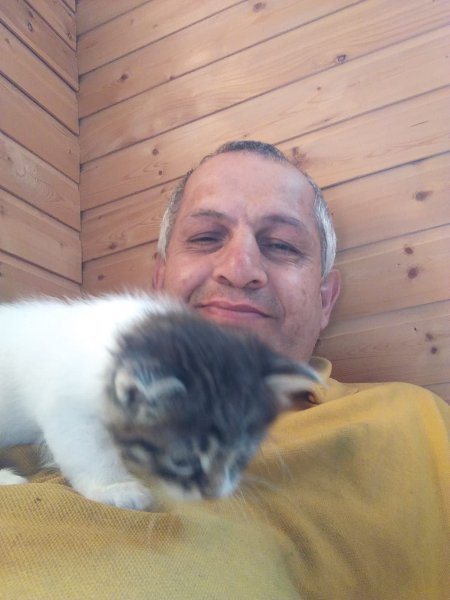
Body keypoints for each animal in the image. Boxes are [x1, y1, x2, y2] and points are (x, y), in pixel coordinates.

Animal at [0, 293, 320, 510]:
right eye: (183, 460)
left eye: (241, 455)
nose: (214, 494)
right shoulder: (67, 407)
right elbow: (90, 451)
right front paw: (116, 487)